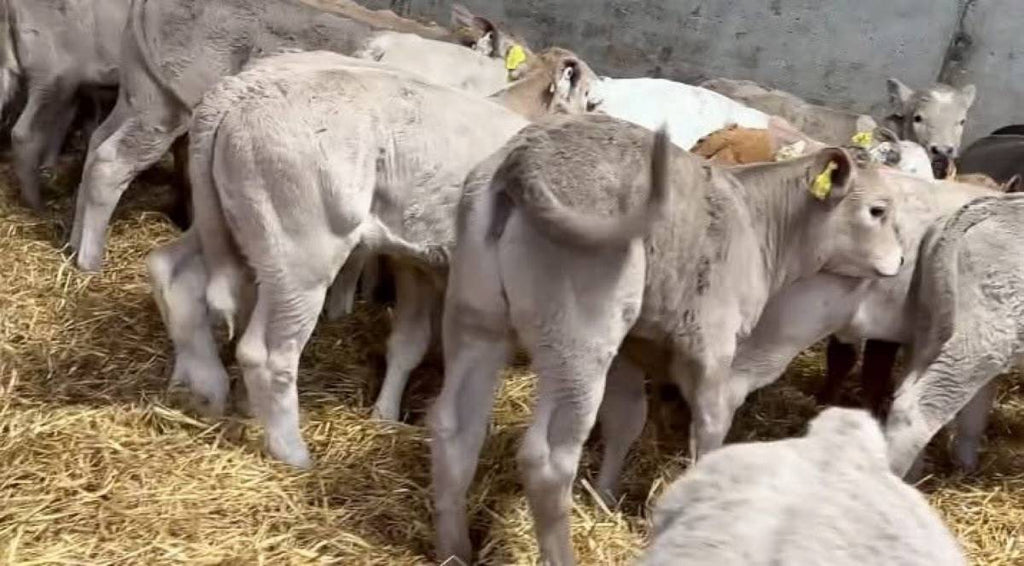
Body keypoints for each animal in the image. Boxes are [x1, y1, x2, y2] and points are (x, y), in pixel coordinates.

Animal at [67, 0, 519, 272]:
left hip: (140, 93)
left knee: (96, 146)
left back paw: (72, 244)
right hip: (165, 107)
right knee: (110, 162)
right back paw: (90, 261)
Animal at [146, 47, 593, 464]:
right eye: (592, 100)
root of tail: (234, 93)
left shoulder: (421, 261)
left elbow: (411, 343)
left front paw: (387, 415)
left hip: (227, 227)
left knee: (172, 271)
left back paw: (205, 390)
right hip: (302, 253)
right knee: (269, 354)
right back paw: (293, 454)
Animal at [429, 113, 905, 565]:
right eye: (878, 210)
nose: (901, 261)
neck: (761, 224)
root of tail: (526, 155)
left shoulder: (632, 348)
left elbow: (627, 419)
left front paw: (604, 499)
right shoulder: (713, 345)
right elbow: (711, 428)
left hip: (476, 319)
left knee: (456, 427)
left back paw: (454, 551)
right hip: (580, 341)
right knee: (547, 459)